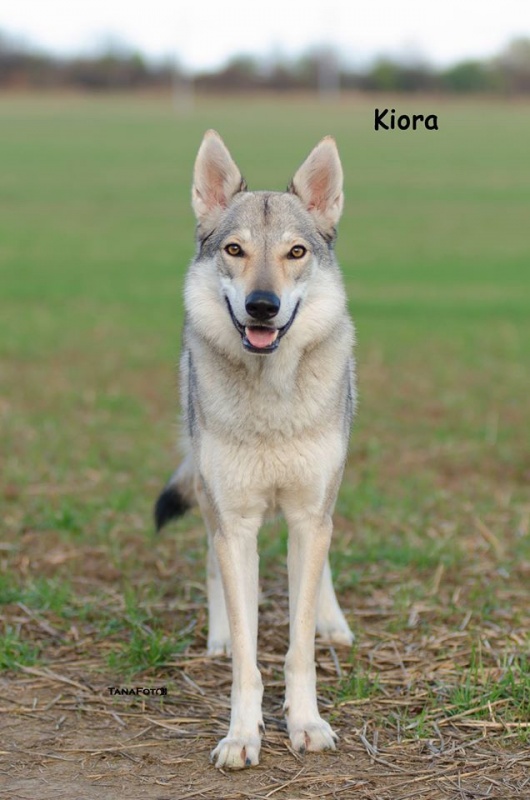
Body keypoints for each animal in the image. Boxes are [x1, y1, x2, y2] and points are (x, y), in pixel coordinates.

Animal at [156, 131, 354, 768]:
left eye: (295, 252)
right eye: (235, 250)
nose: (262, 305)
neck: (270, 401)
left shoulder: (308, 516)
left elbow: (297, 647)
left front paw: (306, 724)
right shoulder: (236, 523)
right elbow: (248, 656)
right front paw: (242, 736)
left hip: (326, 498)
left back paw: (334, 623)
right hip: (209, 498)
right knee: (212, 563)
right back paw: (217, 635)